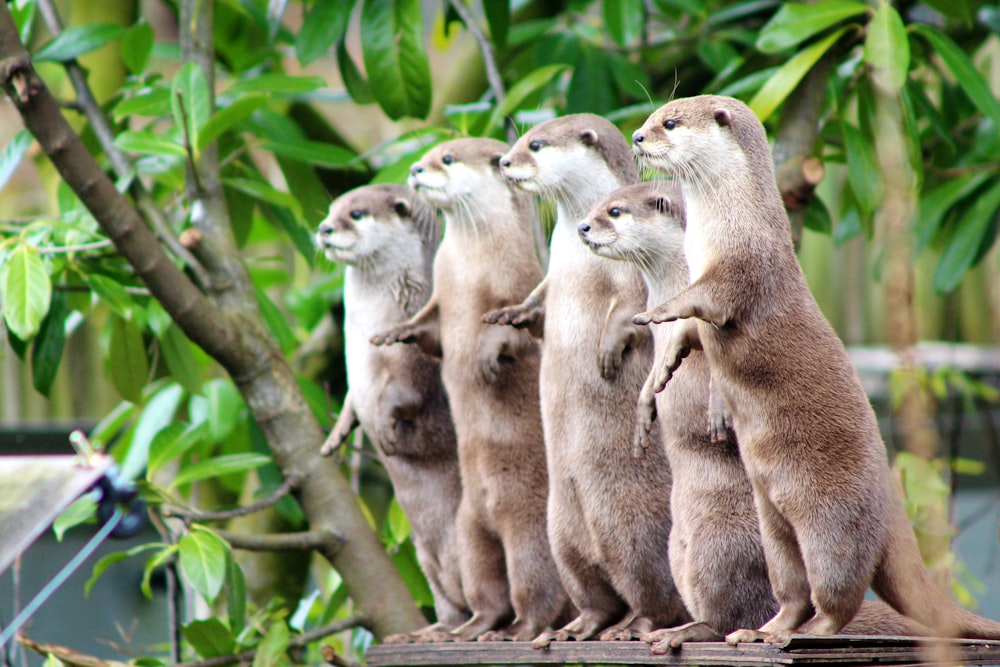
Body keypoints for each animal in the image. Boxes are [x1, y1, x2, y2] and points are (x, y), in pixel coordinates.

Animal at [314, 184, 466, 640]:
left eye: (356, 214)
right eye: (332, 209)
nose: (324, 229)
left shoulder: (410, 357)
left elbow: (402, 397)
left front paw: (383, 432)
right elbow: (351, 398)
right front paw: (336, 435)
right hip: (427, 557)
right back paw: (429, 632)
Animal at [370, 136, 572, 640]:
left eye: (446, 159)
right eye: (430, 153)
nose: (415, 168)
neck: (467, 265)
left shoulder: (513, 280)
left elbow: (510, 328)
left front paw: (486, 356)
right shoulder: (442, 295)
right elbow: (427, 328)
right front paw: (393, 333)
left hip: (529, 531)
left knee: (536, 589)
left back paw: (521, 630)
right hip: (468, 532)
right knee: (486, 590)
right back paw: (472, 627)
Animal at [482, 115, 688, 648]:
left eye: (534, 144)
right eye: (517, 139)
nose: (504, 162)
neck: (576, 262)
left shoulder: (633, 279)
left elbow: (631, 312)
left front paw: (608, 351)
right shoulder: (551, 277)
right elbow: (536, 301)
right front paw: (510, 318)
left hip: (633, 531)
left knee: (654, 595)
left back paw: (634, 628)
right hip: (560, 531)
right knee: (592, 591)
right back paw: (577, 627)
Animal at [580, 181, 936, 652]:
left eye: (615, 211)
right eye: (600, 204)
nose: (582, 226)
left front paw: (716, 410)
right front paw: (646, 404)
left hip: (719, 543)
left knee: (728, 613)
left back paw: (685, 632)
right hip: (678, 547)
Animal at [628, 94, 1000, 640]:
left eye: (669, 123)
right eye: (652, 118)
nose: (636, 137)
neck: (721, 226)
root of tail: (891, 506)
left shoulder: (743, 264)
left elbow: (704, 300)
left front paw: (656, 312)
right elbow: (691, 334)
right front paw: (662, 369)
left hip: (831, 522)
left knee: (838, 591)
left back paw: (803, 633)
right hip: (772, 522)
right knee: (792, 589)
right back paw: (762, 630)